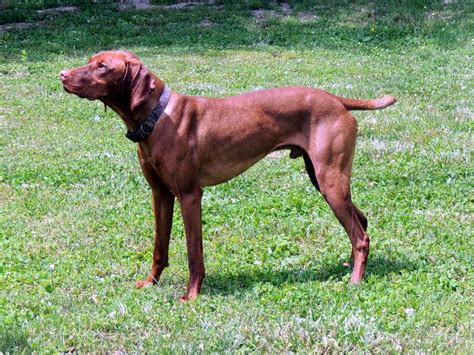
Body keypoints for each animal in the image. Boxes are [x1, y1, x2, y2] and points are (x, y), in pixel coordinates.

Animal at [61, 49, 398, 300]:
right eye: (91, 59)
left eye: (103, 66)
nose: (62, 75)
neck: (157, 118)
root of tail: (338, 100)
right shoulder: (161, 195)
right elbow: (160, 247)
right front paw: (151, 282)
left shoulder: (189, 196)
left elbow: (194, 253)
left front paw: (191, 295)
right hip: (322, 179)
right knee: (361, 221)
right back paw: (351, 265)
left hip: (330, 182)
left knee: (360, 234)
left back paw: (354, 281)